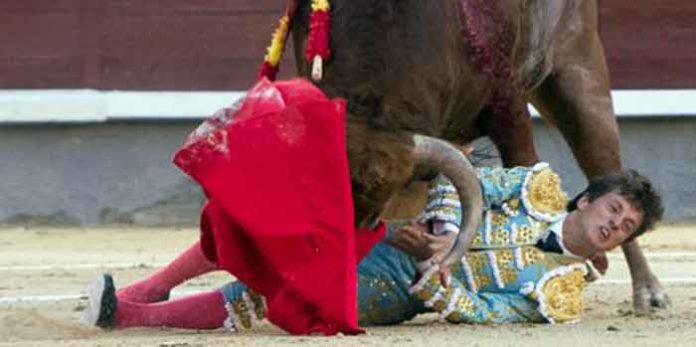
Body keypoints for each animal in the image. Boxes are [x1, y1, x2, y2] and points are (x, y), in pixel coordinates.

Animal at [282, 0, 664, 316]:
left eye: (374, 206)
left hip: (577, 68)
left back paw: (648, 292)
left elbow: (525, 165)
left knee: (603, 164)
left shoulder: (507, 103)